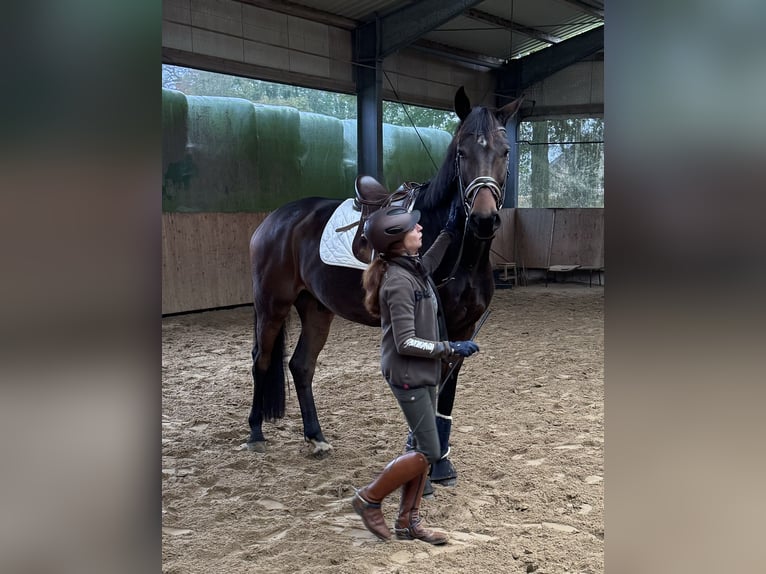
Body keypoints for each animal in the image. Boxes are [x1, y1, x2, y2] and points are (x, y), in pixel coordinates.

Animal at [249, 88, 524, 482]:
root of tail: (276, 218)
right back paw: (255, 433)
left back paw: (316, 438)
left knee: (301, 366)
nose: (484, 219)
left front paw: (443, 461)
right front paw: (428, 459)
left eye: (505, 151)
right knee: (261, 358)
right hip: (272, 305)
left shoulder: (464, 329)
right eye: (462, 153)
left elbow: (447, 394)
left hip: (316, 308)